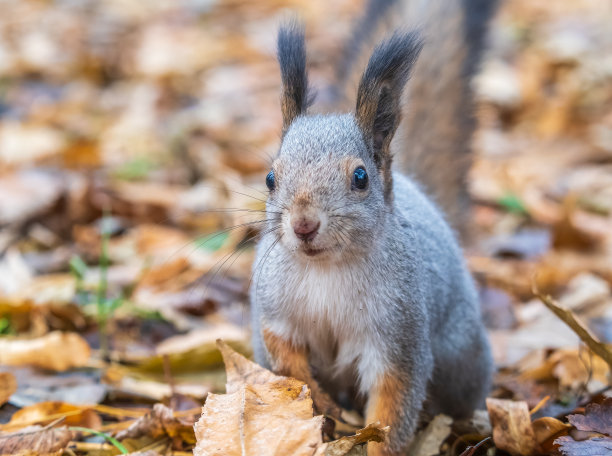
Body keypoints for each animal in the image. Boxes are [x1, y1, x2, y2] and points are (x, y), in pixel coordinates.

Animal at [249, 1, 498, 454]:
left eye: (361, 177)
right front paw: (318, 399)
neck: (326, 269)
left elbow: (391, 404)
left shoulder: (398, 334)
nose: (304, 225)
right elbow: (287, 359)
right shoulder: (275, 309)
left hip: (461, 358)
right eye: (271, 178)